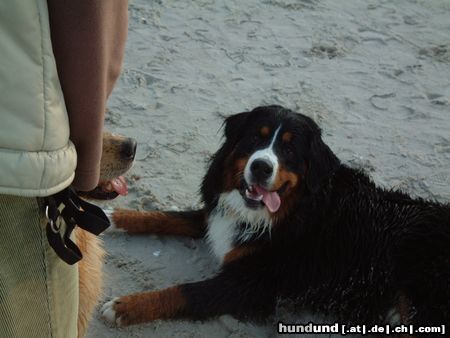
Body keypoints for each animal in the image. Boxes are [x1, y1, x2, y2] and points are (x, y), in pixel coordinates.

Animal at [102, 105, 450, 336]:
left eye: (290, 149)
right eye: (257, 139)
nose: (261, 167)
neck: (283, 214)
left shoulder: (249, 282)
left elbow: (184, 292)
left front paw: (125, 306)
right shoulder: (220, 218)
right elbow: (170, 216)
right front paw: (112, 217)